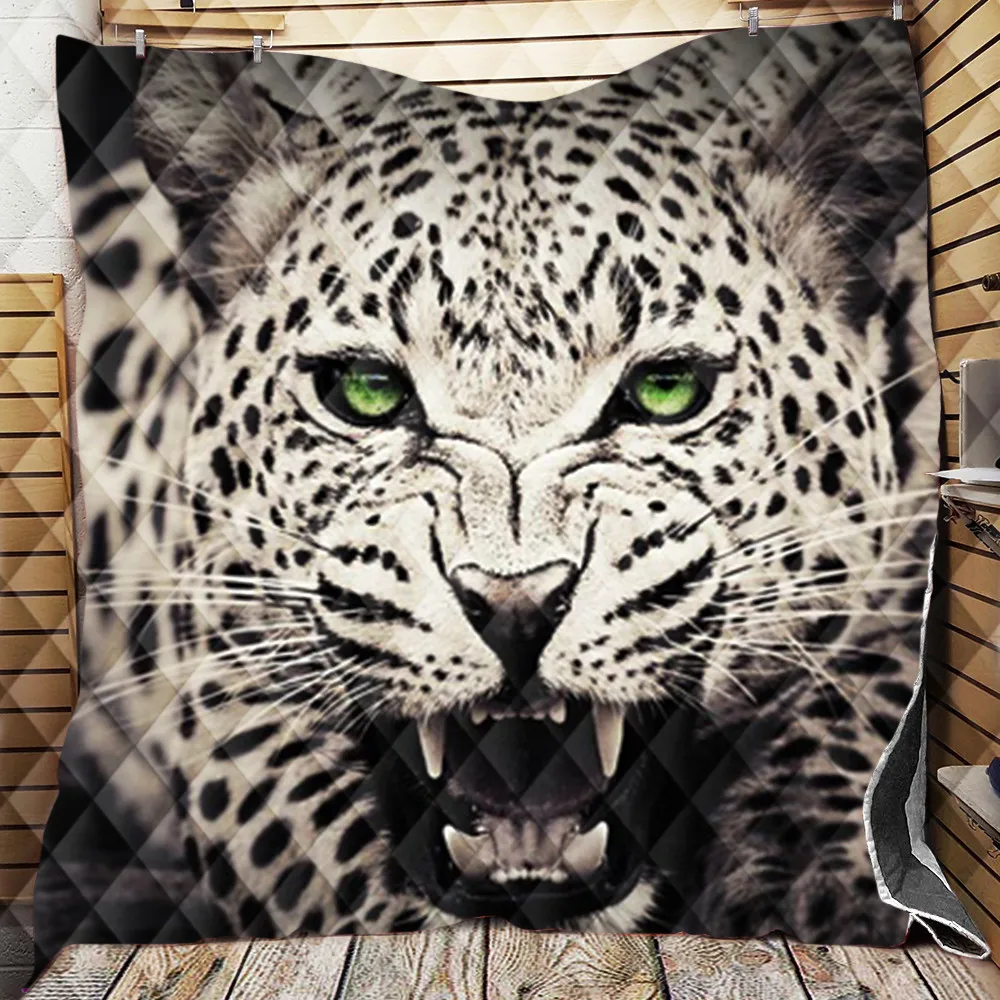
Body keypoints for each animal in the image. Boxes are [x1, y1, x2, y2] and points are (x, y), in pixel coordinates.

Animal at [45, 20, 940, 951]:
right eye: (366, 390)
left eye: (666, 391)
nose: (516, 608)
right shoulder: (228, 675)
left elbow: (873, 692)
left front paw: (821, 878)